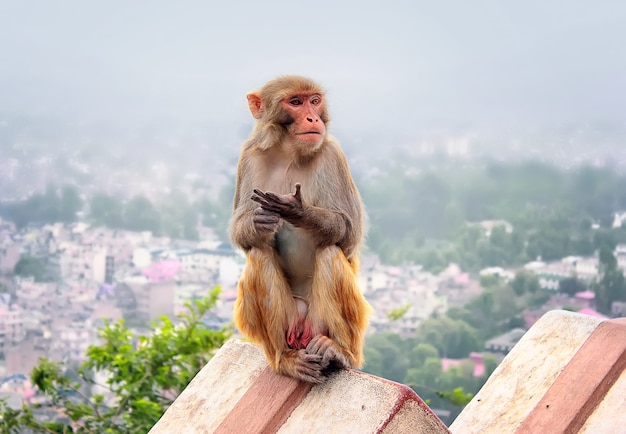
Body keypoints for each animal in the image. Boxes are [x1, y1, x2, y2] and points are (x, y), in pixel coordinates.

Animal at [228, 75, 370, 384]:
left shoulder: (333, 155)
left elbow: (349, 233)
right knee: (259, 254)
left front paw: (295, 210)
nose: (312, 117)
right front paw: (259, 221)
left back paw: (340, 352)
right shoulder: (249, 155)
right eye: (295, 102)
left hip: (323, 324)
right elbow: (242, 232)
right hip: (290, 322)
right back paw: (285, 360)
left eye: (314, 101)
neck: (288, 151)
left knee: (330, 253)